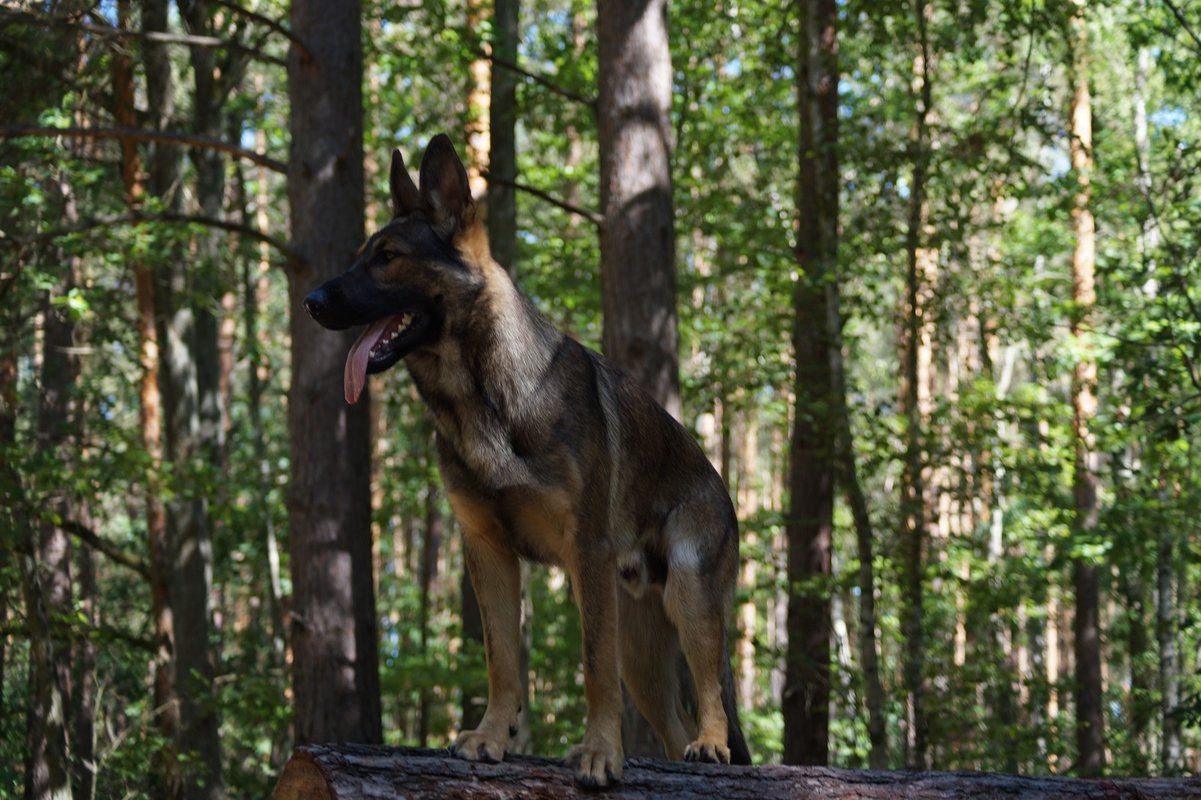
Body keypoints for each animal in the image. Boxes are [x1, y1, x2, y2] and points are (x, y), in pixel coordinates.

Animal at [304, 134, 751, 786]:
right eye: (364, 254)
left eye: (387, 257)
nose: (311, 301)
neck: (481, 394)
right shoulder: (488, 552)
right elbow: (502, 661)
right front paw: (492, 737)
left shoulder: (585, 554)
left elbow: (593, 669)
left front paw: (599, 751)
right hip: (644, 657)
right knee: (673, 725)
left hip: (689, 596)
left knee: (710, 690)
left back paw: (711, 744)